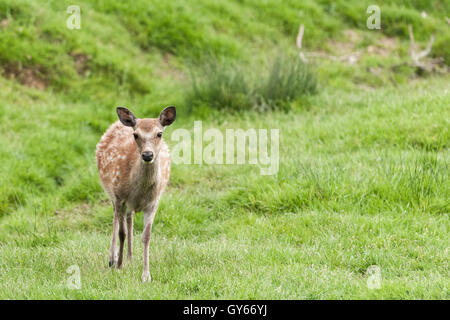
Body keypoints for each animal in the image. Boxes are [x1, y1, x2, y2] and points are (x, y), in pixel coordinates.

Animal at [96, 105, 176, 282]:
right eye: (136, 135)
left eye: (159, 133)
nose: (147, 155)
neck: (141, 190)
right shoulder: (119, 197)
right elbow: (122, 233)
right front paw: (119, 266)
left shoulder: (153, 203)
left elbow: (146, 236)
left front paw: (146, 275)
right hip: (112, 193)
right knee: (115, 219)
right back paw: (112, 258)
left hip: (129, 204)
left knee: (130, 217)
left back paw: (130, 257)